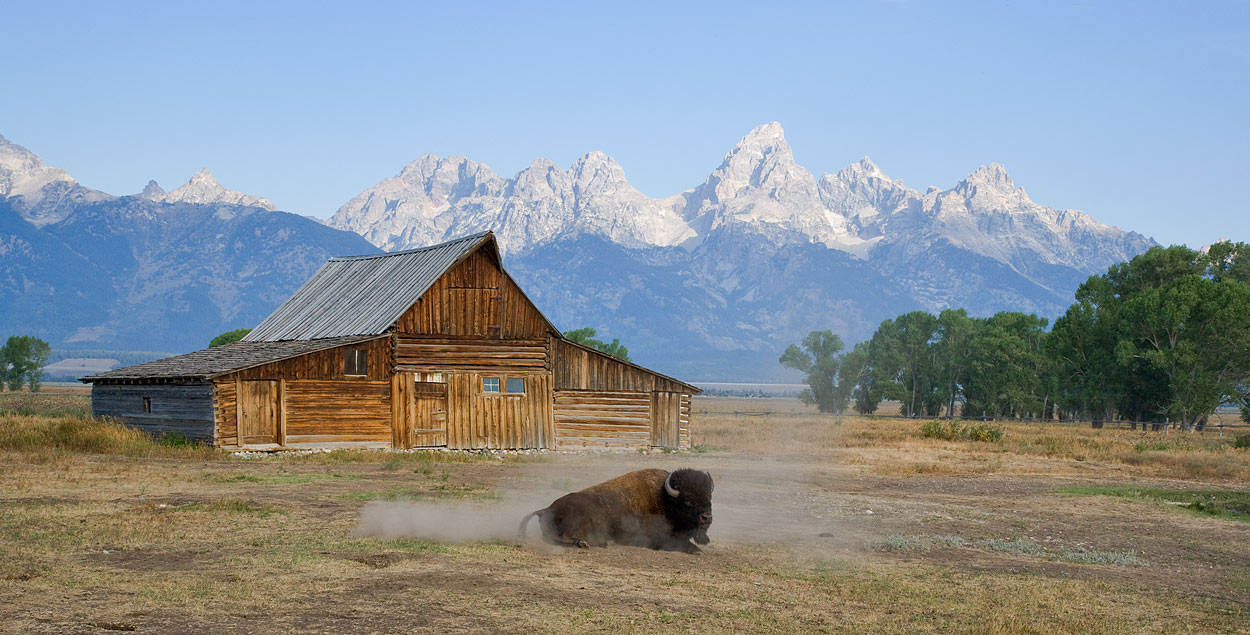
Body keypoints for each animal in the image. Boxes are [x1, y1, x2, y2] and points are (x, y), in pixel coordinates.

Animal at [517, 470, 715, 552]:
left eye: (709, 498)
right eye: (688, 501)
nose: (707, 518)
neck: (665, 499)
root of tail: (546, 509)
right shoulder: (658, 537)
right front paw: (697, 550)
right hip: (578, 520)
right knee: (558, 537)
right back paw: (586, 543)